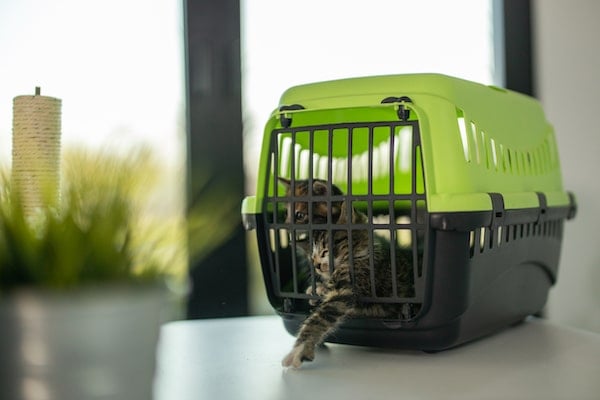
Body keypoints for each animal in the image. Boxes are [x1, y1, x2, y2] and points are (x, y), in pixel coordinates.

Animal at [280, 202, 412, 368]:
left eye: (325, 251)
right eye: (312, 257)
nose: (317, 265)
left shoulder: (349, 290)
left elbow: (322, 315)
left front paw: (299, 349)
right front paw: (317, 290)